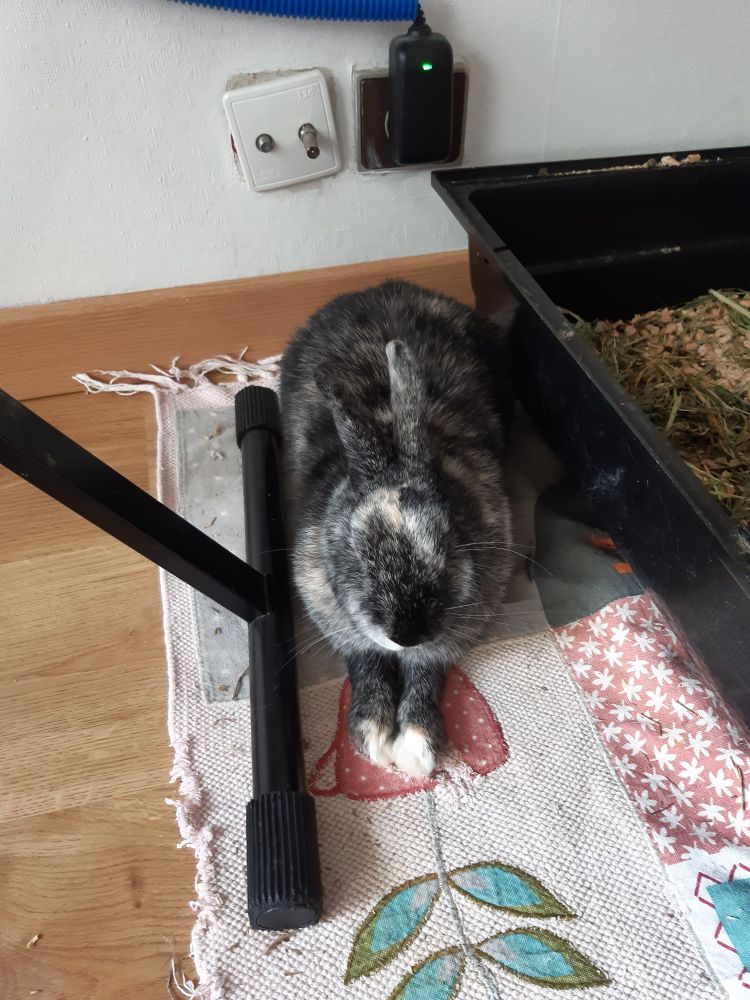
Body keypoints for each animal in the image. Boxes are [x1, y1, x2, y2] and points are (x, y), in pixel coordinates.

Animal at [280, 280, 515, 778]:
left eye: (449, 543)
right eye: (356, 552)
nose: (406, 633)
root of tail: (385, 287)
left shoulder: (446, 639)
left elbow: (427, 674)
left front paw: (416, 747)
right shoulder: (348, 631)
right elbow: (367, 665)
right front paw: (372, 736)